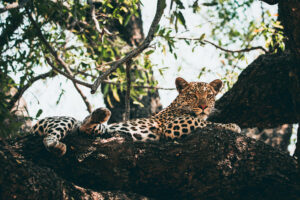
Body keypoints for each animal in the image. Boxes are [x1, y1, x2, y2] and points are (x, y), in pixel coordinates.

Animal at [31, 77, 241, 156]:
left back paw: (100, 114)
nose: (203, 106)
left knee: (87, 127)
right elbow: (207, 123)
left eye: (209, 95)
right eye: (192, 95)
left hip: (99, 129)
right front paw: (233, 126)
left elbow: (207, 122)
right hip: (63, 120)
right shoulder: (175, 125)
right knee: (53, 135)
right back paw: (57, 146)